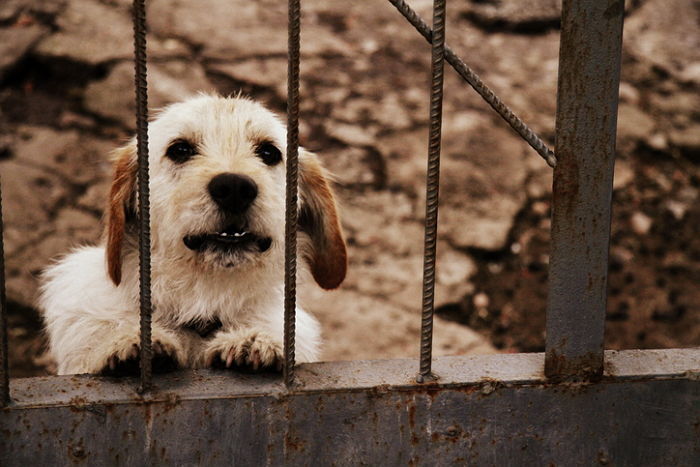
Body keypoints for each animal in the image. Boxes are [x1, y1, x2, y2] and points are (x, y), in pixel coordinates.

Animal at [38, 95, 348, 376]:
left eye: (269, 152)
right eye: (180, 149)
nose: (234, 188)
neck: (204, 300)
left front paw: (252, 342)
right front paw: (127, 344)